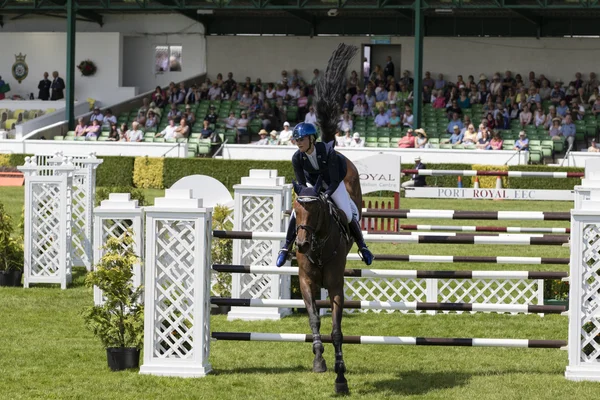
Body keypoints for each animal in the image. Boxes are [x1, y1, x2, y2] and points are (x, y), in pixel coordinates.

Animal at [292, 158, 364, 396]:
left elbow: (336, 331)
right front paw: (318, 359)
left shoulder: (335, 287)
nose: (302, 244)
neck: (318, 244)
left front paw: (340, 376)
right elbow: (314, 319)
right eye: (295, 209)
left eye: (316, 210)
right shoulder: (305, 282)